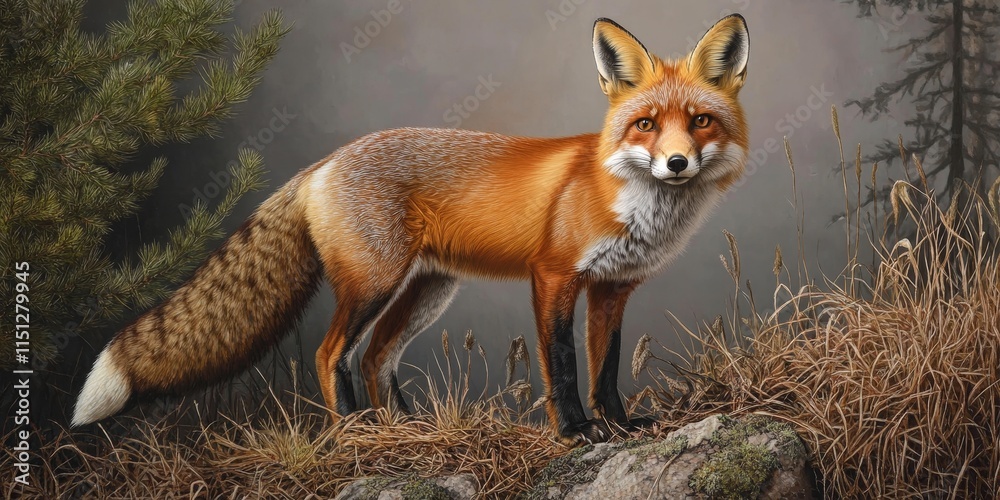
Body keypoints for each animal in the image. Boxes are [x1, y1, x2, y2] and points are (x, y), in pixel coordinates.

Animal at [73, 15, 750, 445]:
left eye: (699, 121)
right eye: (645, 125)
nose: (676, 163)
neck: (629, 201)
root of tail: (323, 162)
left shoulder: (614, 288)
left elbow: (606, 368)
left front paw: (620, 426)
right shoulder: (554, 277)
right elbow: (561, 366)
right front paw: (577, 432)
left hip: (427, 292)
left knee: (376, 356)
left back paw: (405, 430)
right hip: (374, 283)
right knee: (331, 354)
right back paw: (352, 436)